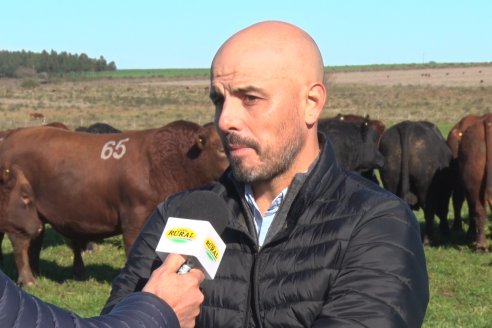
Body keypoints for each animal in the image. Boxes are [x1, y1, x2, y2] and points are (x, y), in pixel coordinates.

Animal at [0, 120, 229, 284]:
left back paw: (40, 272)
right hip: (17, 211)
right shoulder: (134, 221)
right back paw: (29, 279)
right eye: (221, 149)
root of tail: (12, 135)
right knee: (20, 243)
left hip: (36, 215)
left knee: (36, 241)